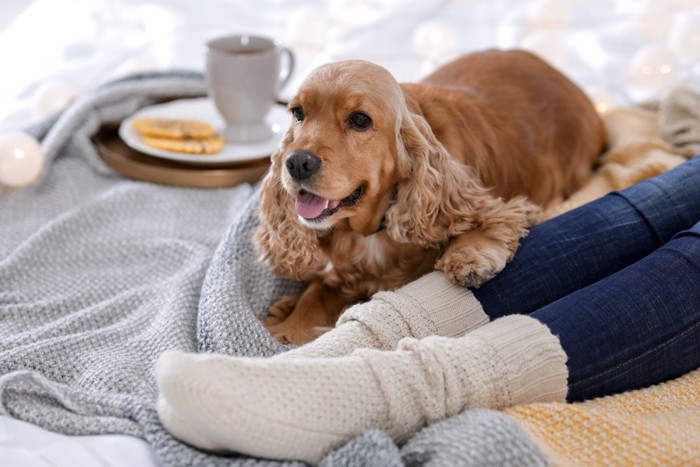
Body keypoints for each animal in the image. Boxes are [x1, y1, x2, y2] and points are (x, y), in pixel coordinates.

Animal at [254, 50, 604, 344]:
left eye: (359, 119)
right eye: (298, 113)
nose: (297, 162)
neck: (372, 231)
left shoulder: (506, 203)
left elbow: (493, 218)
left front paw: (468, 255)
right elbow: (315, 294)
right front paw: (291, 322)